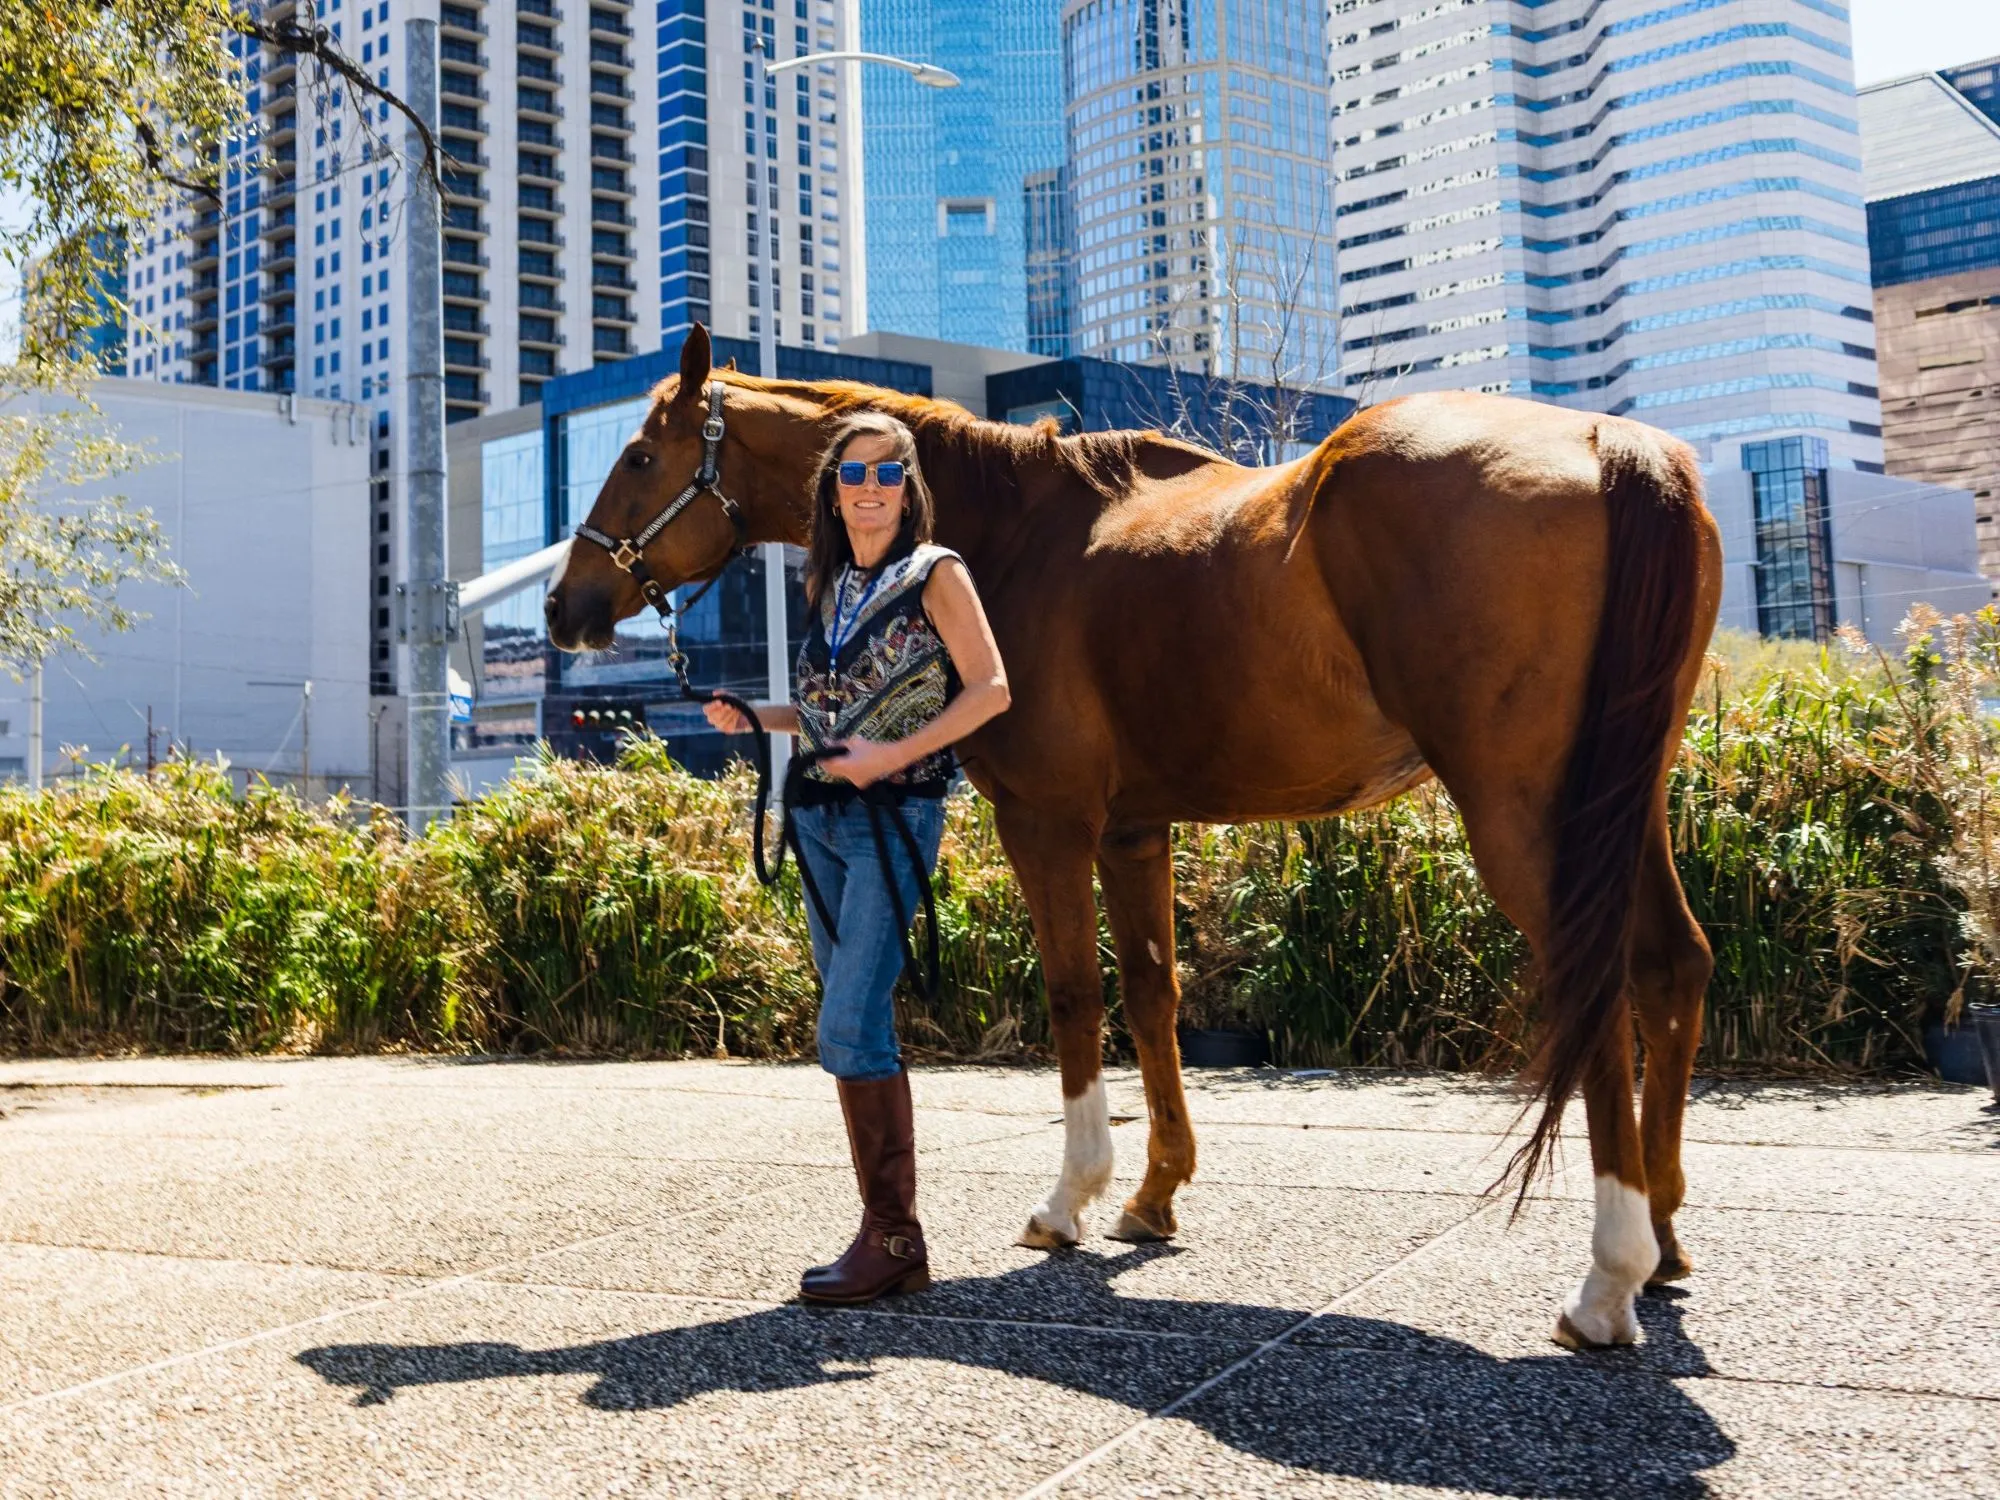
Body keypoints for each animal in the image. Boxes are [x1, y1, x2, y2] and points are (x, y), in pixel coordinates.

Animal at [544, 325, 1724, 1350]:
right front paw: (1154, 1195)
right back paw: (1664, 1239)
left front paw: (1068, 1198)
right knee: (1671, 963)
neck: (1015, 536)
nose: (564, 606)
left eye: (639, 455)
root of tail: (1607, 445)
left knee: (1599, 980)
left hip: (1524, 811)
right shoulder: (1133, 830)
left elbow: (1074, 996)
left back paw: (1605, 1280)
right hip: (1624, 802)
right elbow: (1155, 995)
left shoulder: (1048, 822)